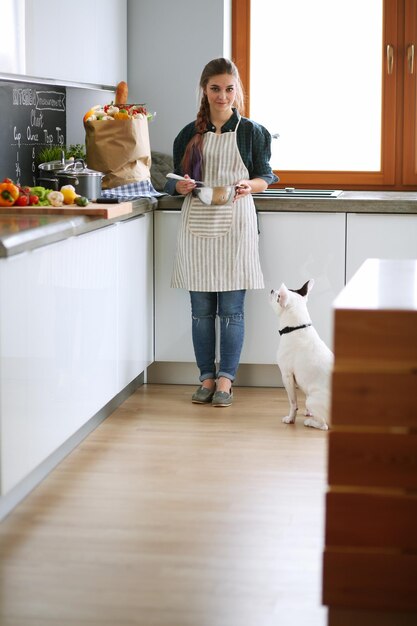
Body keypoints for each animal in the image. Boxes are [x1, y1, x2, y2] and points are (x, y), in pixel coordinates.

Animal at [268, 280, 334, 428]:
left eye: (278, 296)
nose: (272, 290)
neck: (296, 327)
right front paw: (308, 412)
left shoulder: (286, 375)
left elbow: (293, 402)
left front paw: (290, 419)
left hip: (313, 400)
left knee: (324, 425)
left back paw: (310, 422)